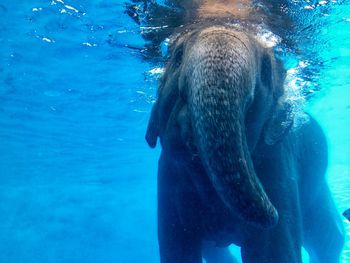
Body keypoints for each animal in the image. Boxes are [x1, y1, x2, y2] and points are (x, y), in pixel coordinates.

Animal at [145, 21, 344, 263]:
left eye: (266, 69)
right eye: (178, 56)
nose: (274, 213)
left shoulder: (278, 164)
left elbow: (274, 250)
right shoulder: (168, 179)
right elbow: (177, 248)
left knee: (328, 237)